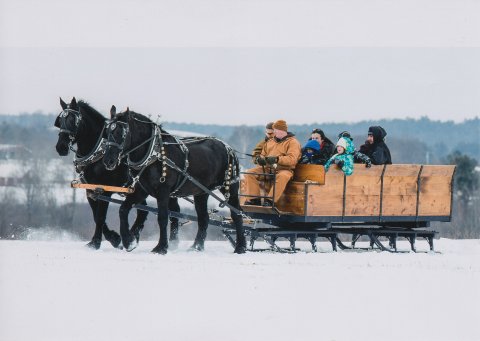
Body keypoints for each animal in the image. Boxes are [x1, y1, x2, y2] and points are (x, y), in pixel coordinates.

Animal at [53, 97, 153, 248]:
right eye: (60, 121)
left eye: (72, 120)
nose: (61, 147)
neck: (98, 153)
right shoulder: (91, 190)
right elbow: (96, 216)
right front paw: (113, 238)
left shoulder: (104, 190)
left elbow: (100, 216)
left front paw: (98, 241)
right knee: (144, 211)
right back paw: (133, 236)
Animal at [104, 107, 248, 254]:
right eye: (108, 131)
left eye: (121, 133)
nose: (108, 160)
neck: (154, 153)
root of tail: (228, 148)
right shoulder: (141, 190)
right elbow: (123, 210)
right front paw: (129, 242)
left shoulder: (163, 190)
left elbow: (162, 217)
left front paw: (161, 247)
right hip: (201, 192)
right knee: (204, 218)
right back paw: (197, 247)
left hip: (230, 187)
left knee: (237, 214)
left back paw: (240, 247)